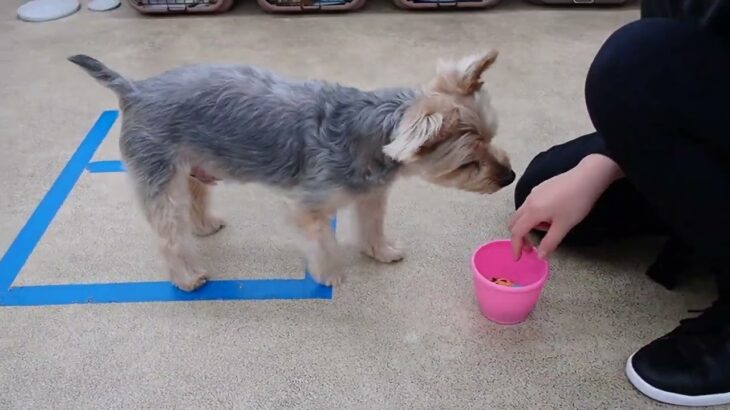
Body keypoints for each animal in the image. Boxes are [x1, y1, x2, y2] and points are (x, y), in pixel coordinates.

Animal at [68, 52, 512, 290]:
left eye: (493, 136)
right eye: (468, 163)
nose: (509, 177)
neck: (372, 132)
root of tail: (134, 89)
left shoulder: (371, 195)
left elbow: (373, 225)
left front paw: (381, 252)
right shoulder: (308, 207)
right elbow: (323, 242)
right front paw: (330, 274)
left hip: (196, 165)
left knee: (195, 198)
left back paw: (206, 225)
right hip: (160, 177)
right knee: (169, 236)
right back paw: (187, 276)